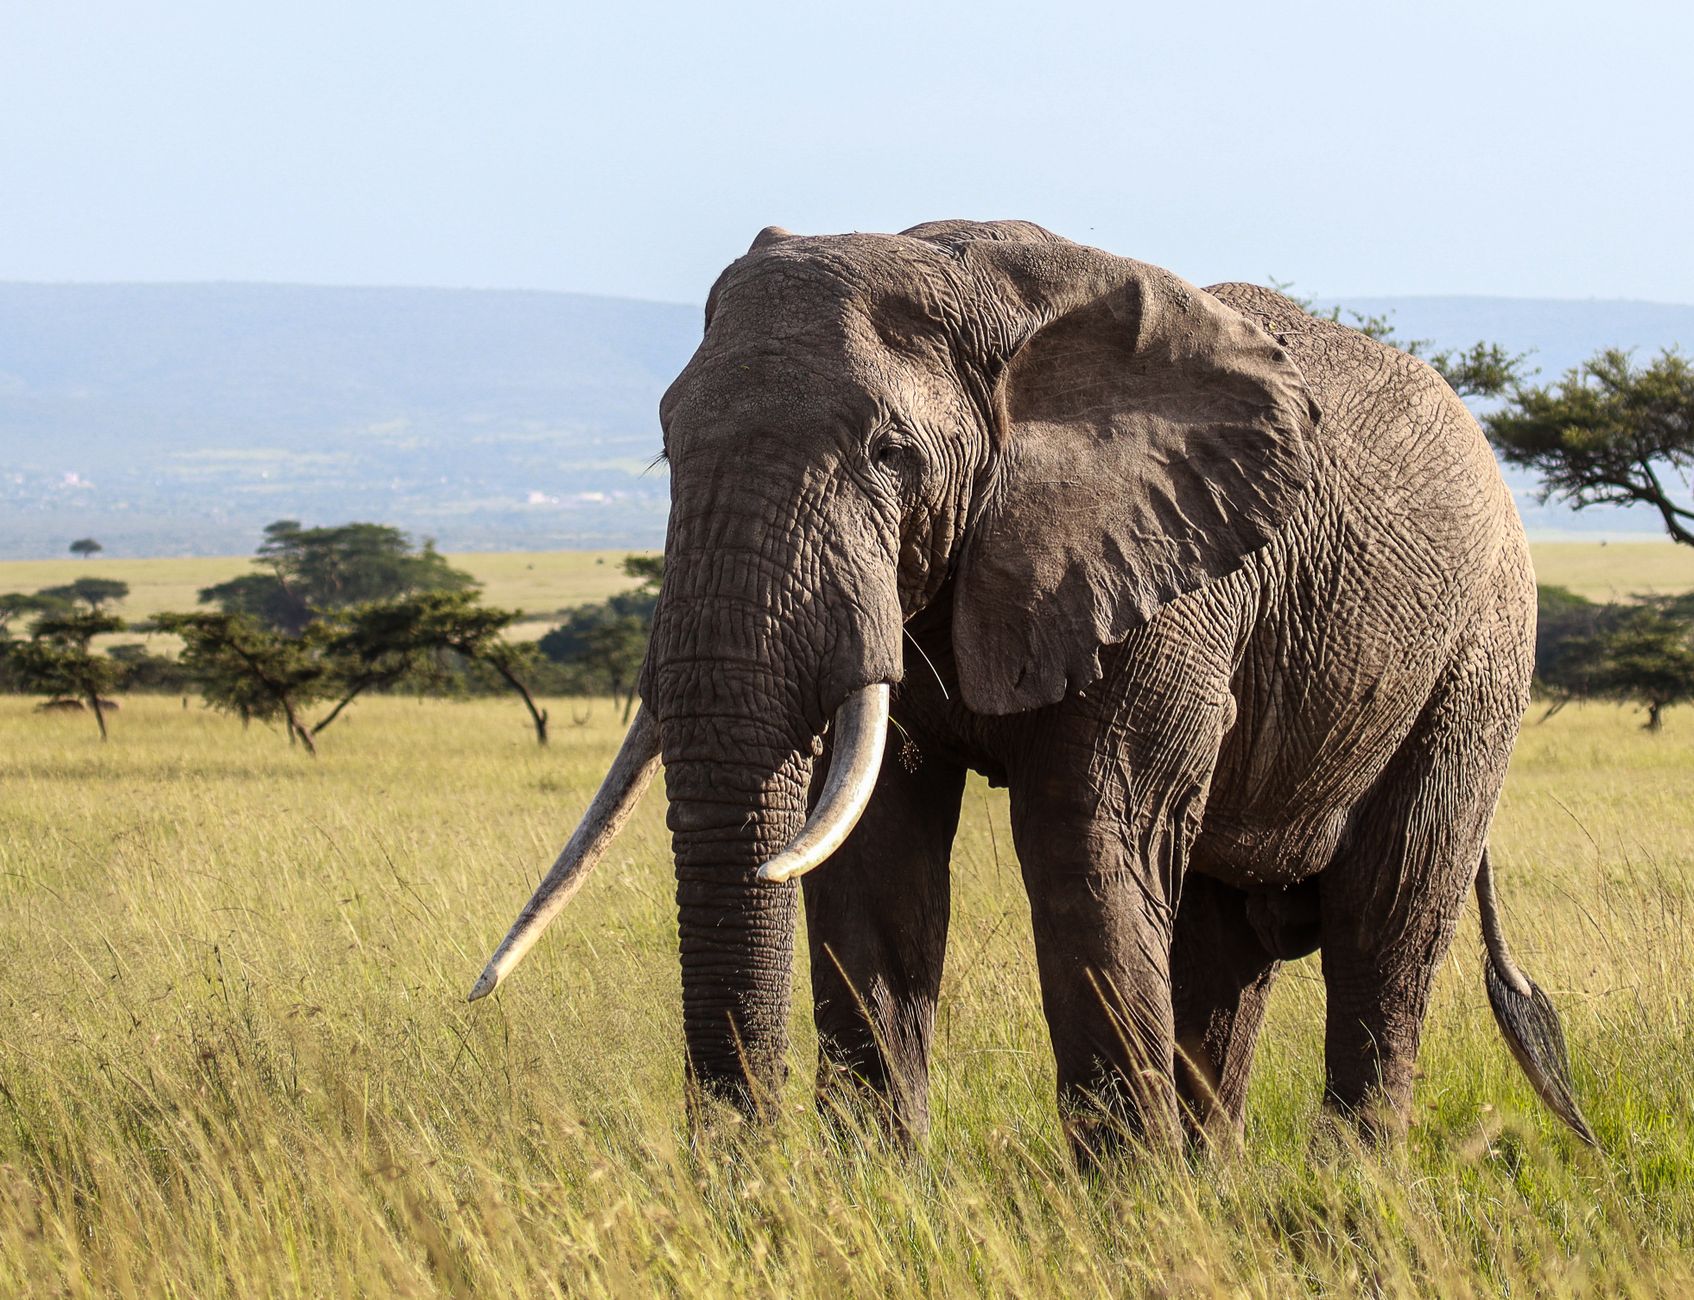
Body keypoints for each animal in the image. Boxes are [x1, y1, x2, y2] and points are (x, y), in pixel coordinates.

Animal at [471, 219, 1593, 1157]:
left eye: (891, 453)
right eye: (667, 445)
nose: (737, 1183)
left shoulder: (1159, 577)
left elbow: (1085, 837)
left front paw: (1128, 1214)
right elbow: (877, 854)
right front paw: (876, 1192)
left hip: (1478, 659)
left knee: (1387, 923)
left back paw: (1344, 1191)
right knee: (1225, 945)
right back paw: (1215, 1183)